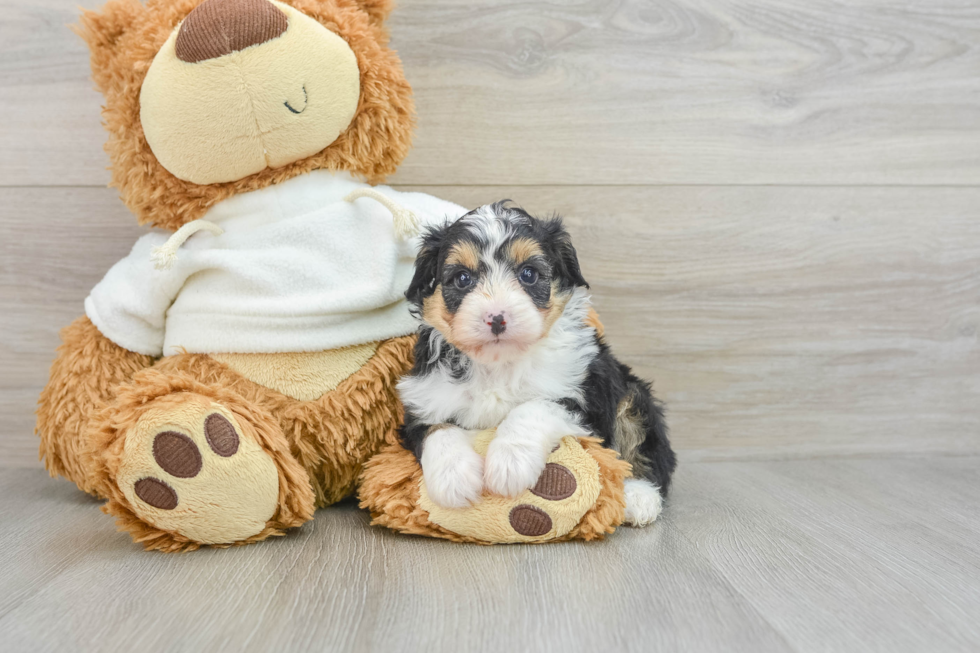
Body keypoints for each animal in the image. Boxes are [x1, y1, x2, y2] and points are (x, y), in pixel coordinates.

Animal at [398, 202, 672, 524]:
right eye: (462, 279)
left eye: (528, 274)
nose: (496, 317)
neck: (498, 364)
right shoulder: (424, 400)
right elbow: (438, 431)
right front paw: (453, 478)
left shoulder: (586, 400)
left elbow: (533, 407)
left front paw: (509, 462)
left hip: (633, 395)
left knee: (646, 448)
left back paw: (639, 496)